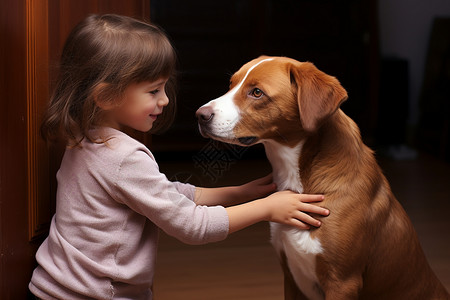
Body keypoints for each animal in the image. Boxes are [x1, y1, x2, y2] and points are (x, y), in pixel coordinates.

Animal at [195, 56, 448, 300]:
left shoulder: (343, 283)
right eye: (231, 85)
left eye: (257, 92)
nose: (199, 115)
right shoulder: (291, 277)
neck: (300, 177)